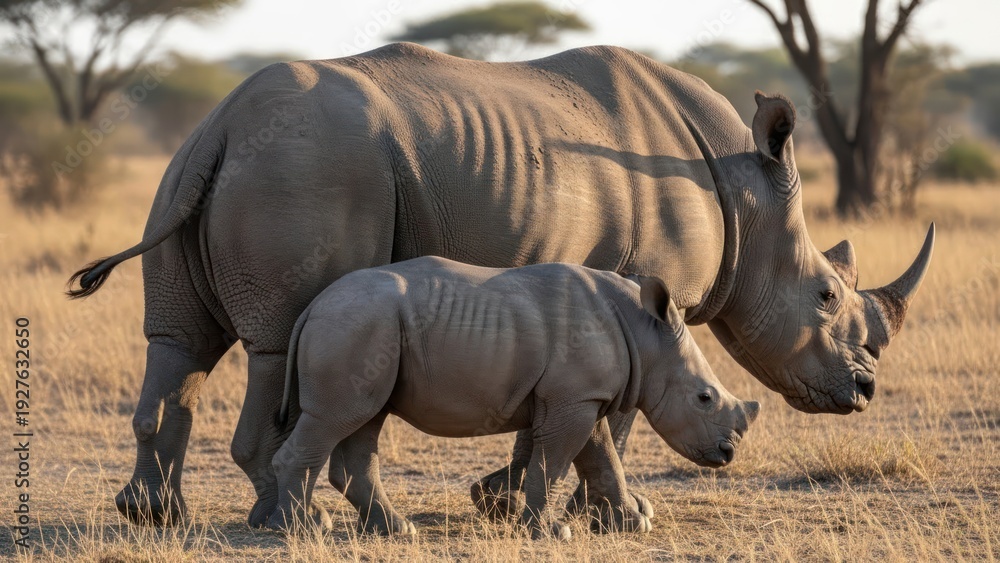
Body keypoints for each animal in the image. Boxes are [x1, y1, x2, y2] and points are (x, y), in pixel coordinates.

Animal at [269, 257, 759, 538]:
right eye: (704, 398)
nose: (727, 453)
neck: (646, 333)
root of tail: (312, 307)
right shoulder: (573, 399)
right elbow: (556, 460)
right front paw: (550, 532)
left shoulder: (582, 395)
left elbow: (601, 457)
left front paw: (631, 524)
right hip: (354, 325)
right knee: (337, 418)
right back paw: (302, 530)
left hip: (366, 327)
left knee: (364, 419)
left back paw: (395, 531)